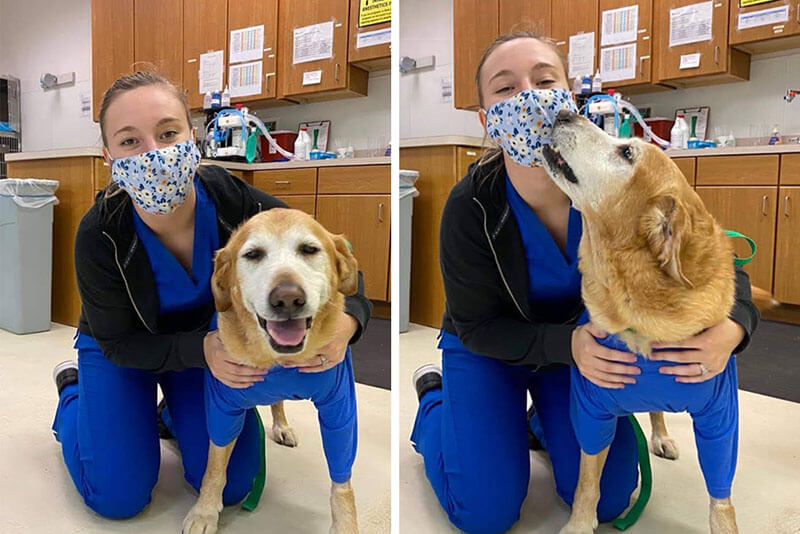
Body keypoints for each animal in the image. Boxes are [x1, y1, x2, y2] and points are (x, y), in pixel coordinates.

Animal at [183, 209, 360, 534]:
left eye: (309, 249)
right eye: (253, 254)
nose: (288, 298)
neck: (275, 360)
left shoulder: (340, 409)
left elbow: (342, 481)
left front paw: (345, 525)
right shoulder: (222, 407)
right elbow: (214, 467)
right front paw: (204, 512)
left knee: (277, 402)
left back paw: (282, 426)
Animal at [540, 111, 772, 532]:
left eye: (627, 152)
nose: (565, 112)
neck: (641, 319)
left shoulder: (721, 419)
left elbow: (721, 498)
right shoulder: (592, 410)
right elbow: (587, 483)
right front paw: (579, 523)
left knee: (656, 410)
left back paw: (661, 436)